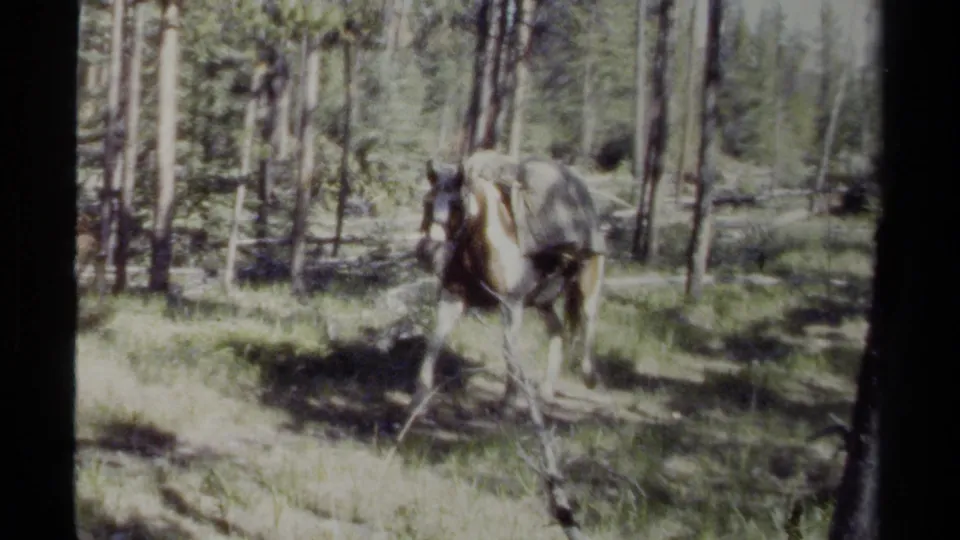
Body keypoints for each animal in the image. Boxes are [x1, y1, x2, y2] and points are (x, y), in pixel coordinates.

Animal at [412, 150, 606, 414]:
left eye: (457, 205)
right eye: (427, 202)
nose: (428, 251)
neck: (481, 244)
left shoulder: (511, 304)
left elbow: (509, 348)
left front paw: (509, 401)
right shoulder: (452, 296)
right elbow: (435, 340)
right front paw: (420, 397)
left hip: (587, 288)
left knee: (589, 322)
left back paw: (589, 377)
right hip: (543, 301)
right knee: (557, 331)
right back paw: (546, 390)